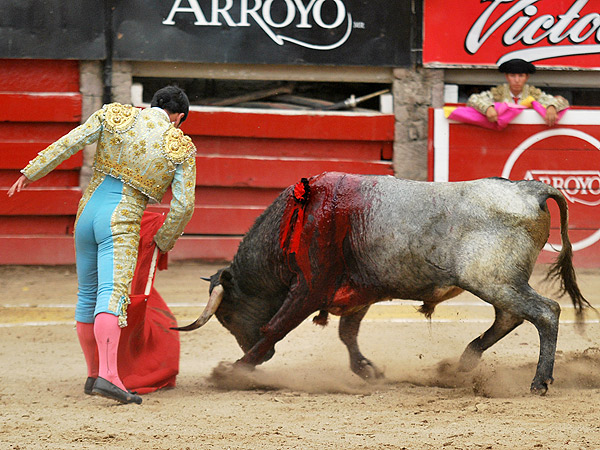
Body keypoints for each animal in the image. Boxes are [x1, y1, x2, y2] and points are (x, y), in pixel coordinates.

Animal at [177, 172, 592, 394]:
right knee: (511, 317)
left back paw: (539, 381)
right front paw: (367, 371)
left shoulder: (309, 288)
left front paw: (234, 370)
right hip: (498, 282)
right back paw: (462, 363)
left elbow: (275, 327)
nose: (254, 354)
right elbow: (347, 333)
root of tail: (529, 189)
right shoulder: (358, 293)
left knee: (545, 312)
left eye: (226, 316)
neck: (300, 217)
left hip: (491, 279)